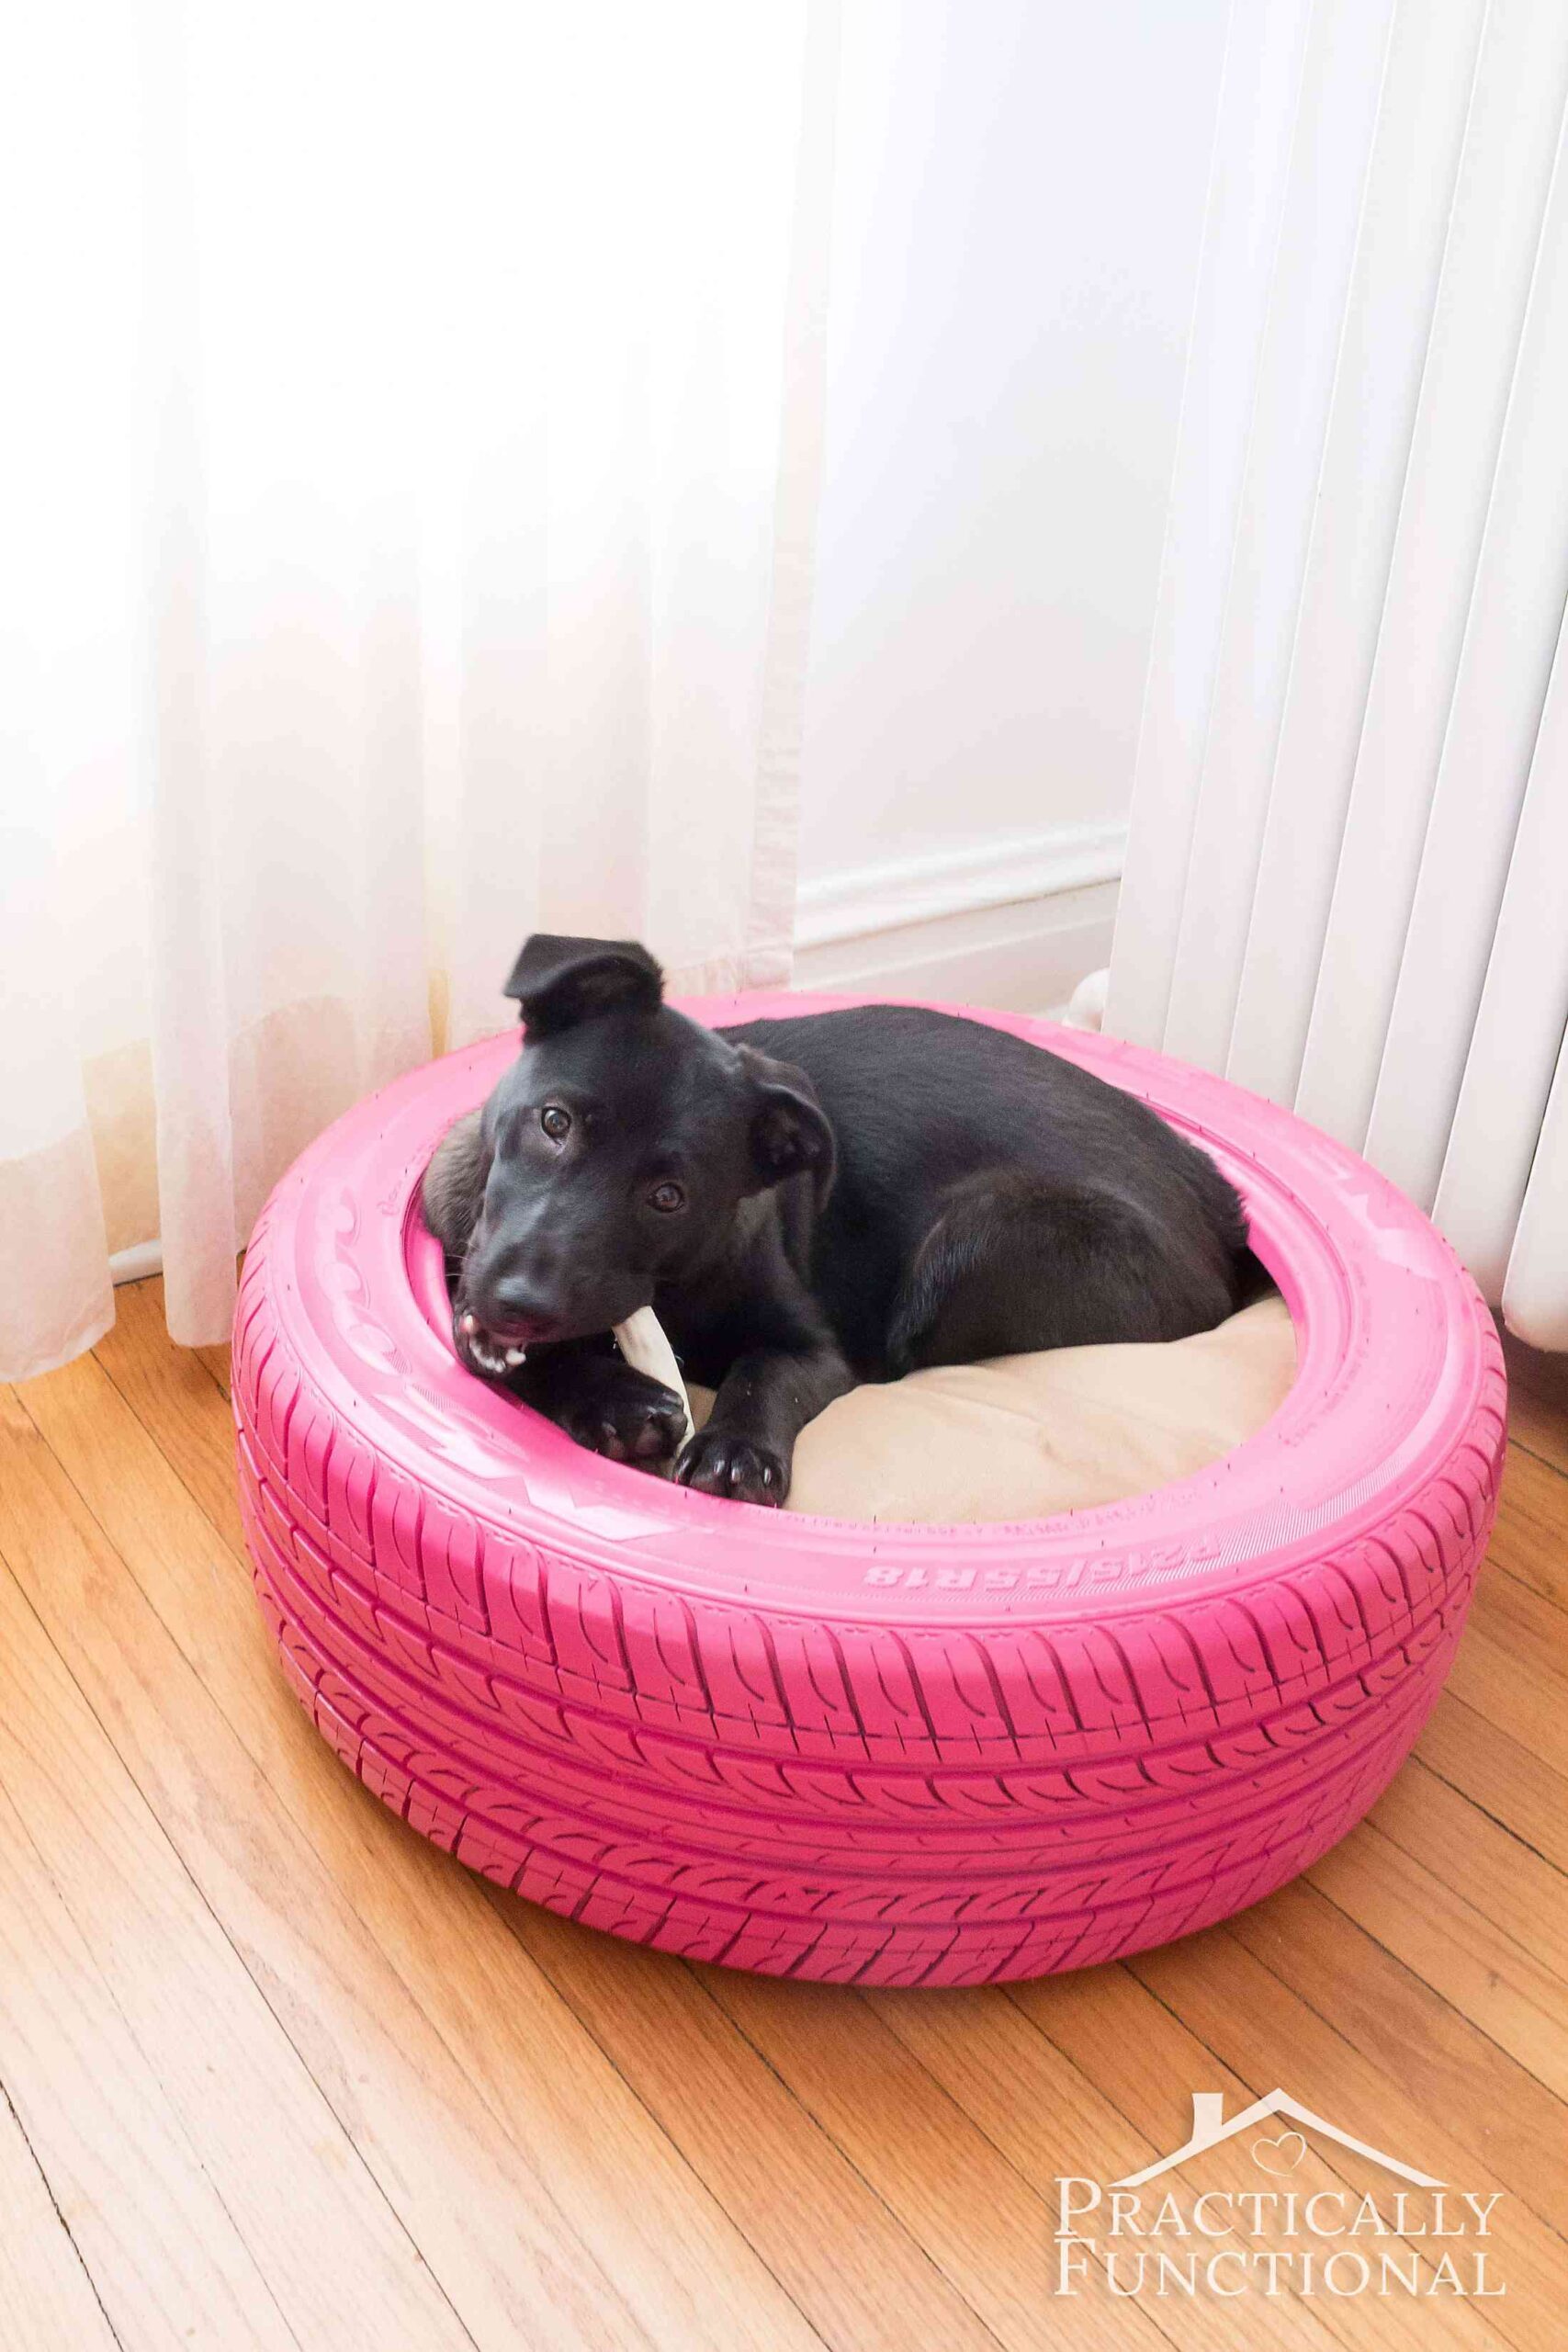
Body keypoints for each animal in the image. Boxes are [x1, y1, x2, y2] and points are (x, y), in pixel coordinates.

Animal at [423, 935, 1259, 1505]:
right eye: (554, 1122)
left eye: (669, 1195)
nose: (521, 1305)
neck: (676, 1286)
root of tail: (1222, 1207)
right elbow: (513, 1359)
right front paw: (616, 1400)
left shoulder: (817, 1350)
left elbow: (763, 1374)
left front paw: (735, 1451)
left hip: (976, 1233)